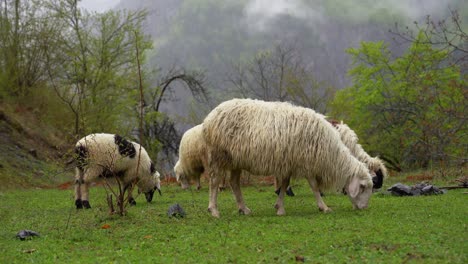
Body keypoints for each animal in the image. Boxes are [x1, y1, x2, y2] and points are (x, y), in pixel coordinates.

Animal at [203, 98, 378, 218]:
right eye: (363, 187)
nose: (364, 208)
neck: (330, 154)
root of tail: (210, 117)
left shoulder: (288, 164)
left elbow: (284, 185)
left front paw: (279, 208)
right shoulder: (306, 163)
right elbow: (314, 187)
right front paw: (324, 207)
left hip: (236, 160)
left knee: (234, 183)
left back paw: (243, 209)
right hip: (218, 155)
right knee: (215, 181)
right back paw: (214, 210)